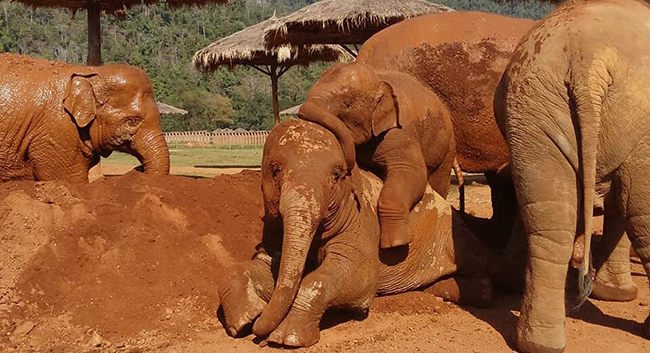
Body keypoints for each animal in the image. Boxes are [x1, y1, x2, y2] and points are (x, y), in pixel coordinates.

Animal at [218, 119, 502, 346]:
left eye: (336, 175)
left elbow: (358, 277)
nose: (259, 329)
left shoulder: (361, 221)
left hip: (454, 234)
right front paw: (244, 321)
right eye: (275, 169)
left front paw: (286, 338)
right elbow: (263, 265)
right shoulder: (273, 227)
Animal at [296, 62, 454, 248]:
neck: (379, 81)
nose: (347, 169)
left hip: (447, 148)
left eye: (347, 104)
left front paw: (395, 243)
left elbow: (411, 170)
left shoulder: (399, 132)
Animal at [492, 1, 648, 350]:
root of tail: (589, 62)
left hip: (533, 106)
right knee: (640, 213)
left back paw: (537, 344)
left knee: (550, 218)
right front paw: (618, 295)